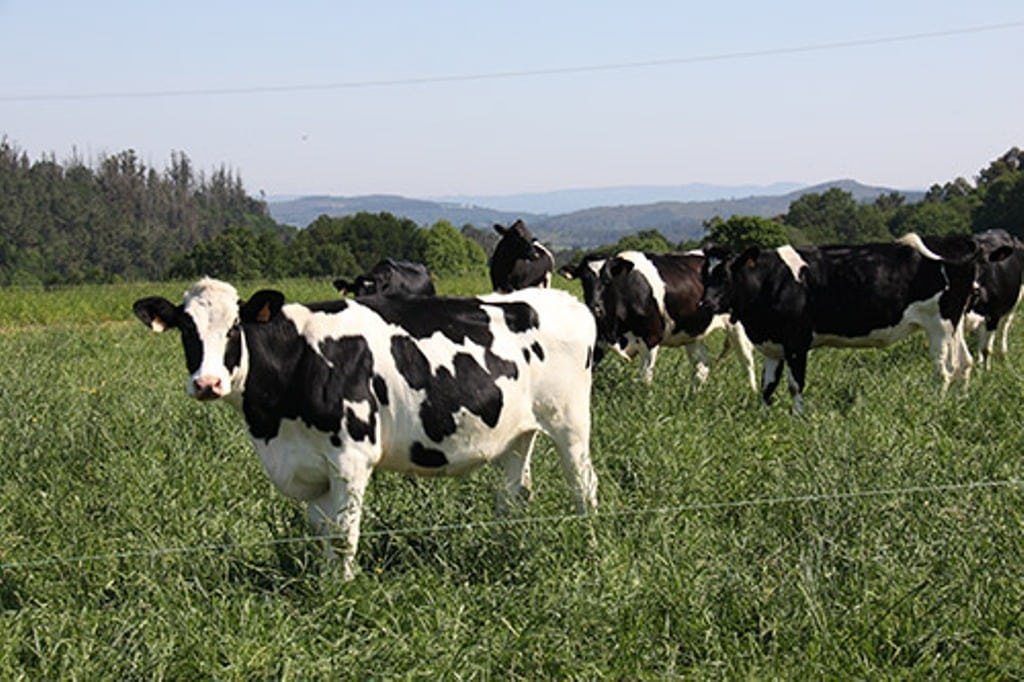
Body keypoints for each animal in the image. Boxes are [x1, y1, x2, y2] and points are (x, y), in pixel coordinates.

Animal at [136, 274, 598, 577]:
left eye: (235, 326)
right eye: (185, 328)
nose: (207, 383)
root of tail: (560, 299)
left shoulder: (350, 458)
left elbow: (344, 533)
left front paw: (342, 591)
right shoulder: (309, 466)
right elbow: (324, 532)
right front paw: (325, 584)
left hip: (570, 421)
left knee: (583, 484)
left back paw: (589, 541)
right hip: (516, 433)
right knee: (513, 494)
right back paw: (506, 547)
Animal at [569, 248, 761, 387]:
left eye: (608, 281)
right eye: (584, 280)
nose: (595, 308)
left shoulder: (651, 337)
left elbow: (646, 377)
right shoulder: (599, 341)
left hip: (737, 328)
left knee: (747, 362)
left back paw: (751, 393)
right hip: (692, 332)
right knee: (702, 366)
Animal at [696, 235, 1007, 409]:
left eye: (726, 274)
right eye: (704, 276)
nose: (704, 305)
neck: (773, 279)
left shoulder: (797, 341)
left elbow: (795, 384)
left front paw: (799, 418)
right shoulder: (773, 345)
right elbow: (767, 387)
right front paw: (763, 417)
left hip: (939, 325)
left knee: (945, 370)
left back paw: (937, 406)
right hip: (954, 325)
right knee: (965, 362)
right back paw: (961, 401)